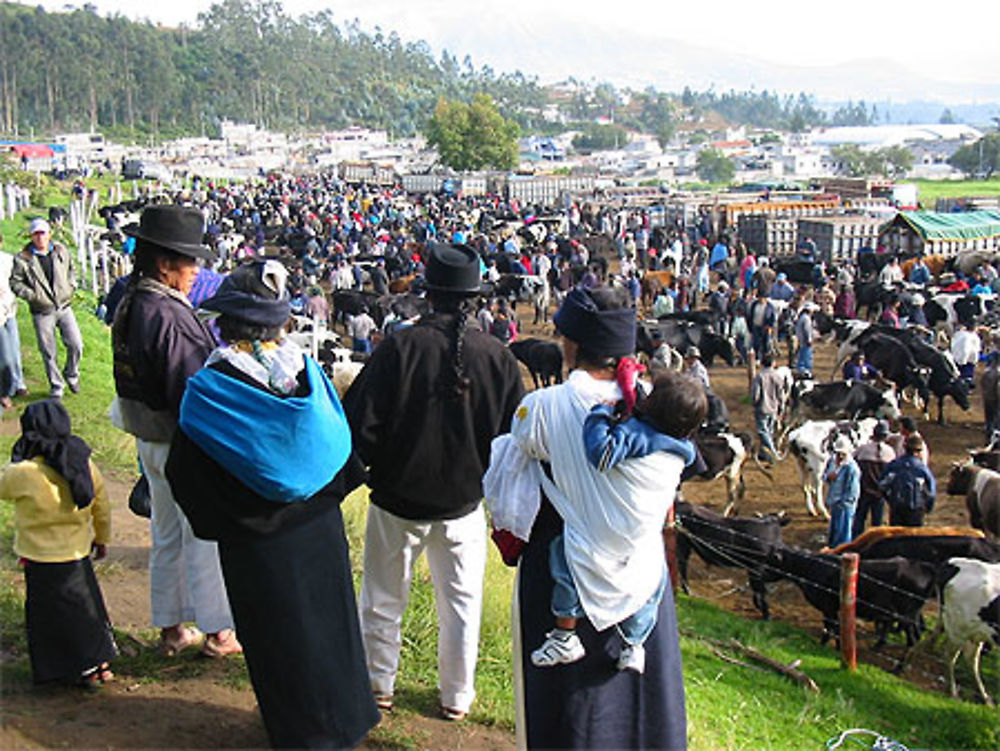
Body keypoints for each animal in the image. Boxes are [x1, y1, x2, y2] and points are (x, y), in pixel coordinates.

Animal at [764, 544, 936, 660]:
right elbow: (835, 629)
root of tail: (922, 566)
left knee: (912, 640)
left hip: (905, 615)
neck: (811, 567)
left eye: (770, 561)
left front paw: (824, 646)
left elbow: (830, 628)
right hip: (910, 615)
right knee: (916, 635)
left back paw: (898, 668)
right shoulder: (832, 608)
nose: (760, 574)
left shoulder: (828, 608)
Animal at [936, 560, 1000, 704]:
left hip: (978, 633)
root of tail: (955, 562)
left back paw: (986, 698)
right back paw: (954, 692)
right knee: (950, 656)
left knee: (971, 660)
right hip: (958, 631)